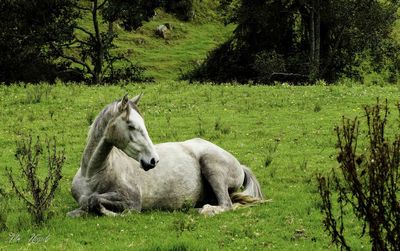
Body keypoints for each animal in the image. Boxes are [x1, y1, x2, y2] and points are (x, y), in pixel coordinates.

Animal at [67, 95, 264, 217]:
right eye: (131, 125)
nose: (153, 160)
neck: (92, 174)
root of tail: (239, 165)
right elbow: (84, 203)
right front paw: (81, 212)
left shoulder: (132, 200)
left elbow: (93, 199)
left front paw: (107, 212)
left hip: (212, 167)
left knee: (226, 205)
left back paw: (205, 210)